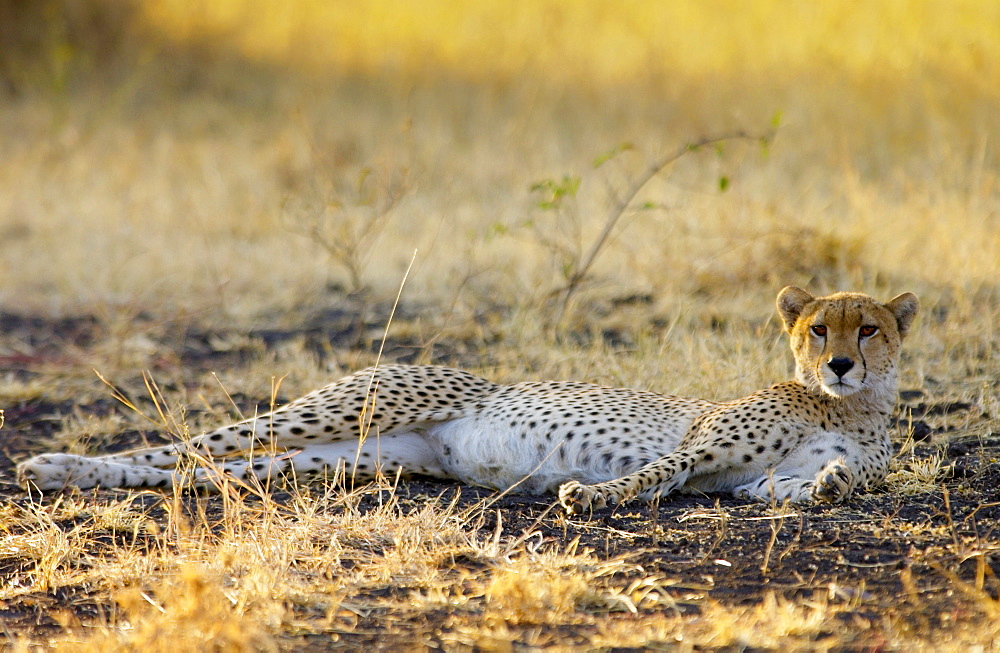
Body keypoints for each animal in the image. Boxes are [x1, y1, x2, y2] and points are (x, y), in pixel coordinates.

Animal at [15, 286, 916, 516]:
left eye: (868, 327)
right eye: (817, 329)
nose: (839, 362)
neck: (849, 408)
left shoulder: (761, 483)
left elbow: (813, 485)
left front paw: (835, 480)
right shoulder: (699, 445)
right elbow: (653, 474)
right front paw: (586, 495)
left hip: (344, 457)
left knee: (206, 472)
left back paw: (71, 476)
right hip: (347, 405)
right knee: (185, 443)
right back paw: (51, 462)